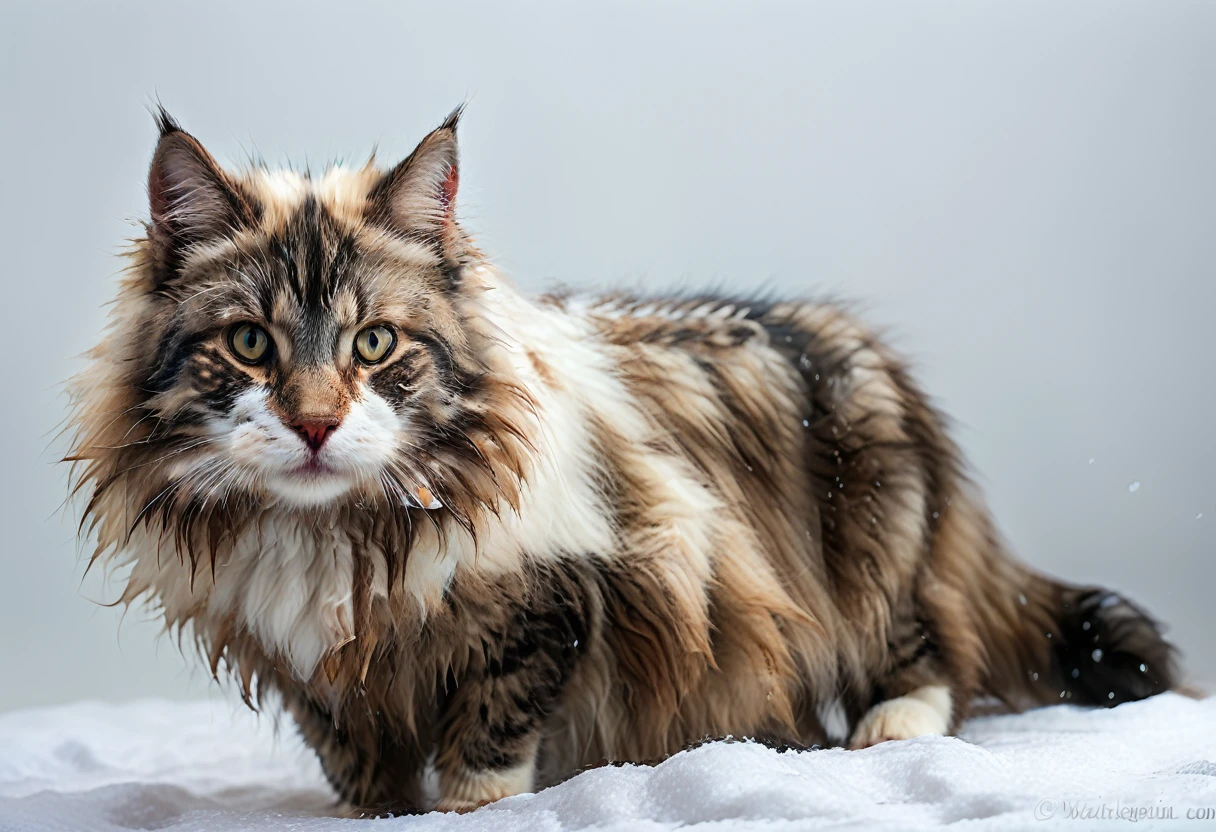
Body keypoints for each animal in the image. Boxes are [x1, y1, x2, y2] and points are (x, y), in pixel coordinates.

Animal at [69, 107, 1177, 817]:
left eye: (374, 345)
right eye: (250, 344)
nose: (312, 423)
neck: (334, 540)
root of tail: (859, 345)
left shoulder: (552, 601)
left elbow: (489, 730)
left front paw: (464, 807)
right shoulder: (310, 665)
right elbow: (354, 761)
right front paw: (368, 812)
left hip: (878, 536)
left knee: (934, 649)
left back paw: (887, 726)